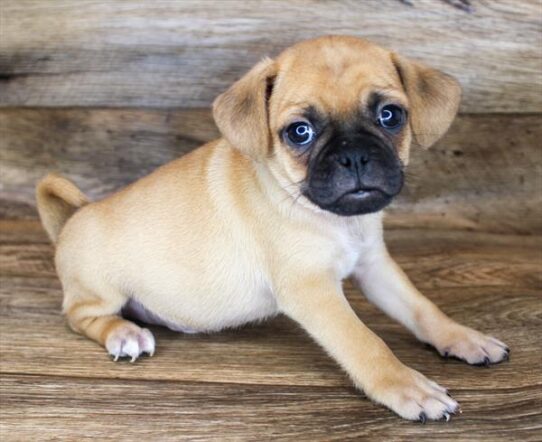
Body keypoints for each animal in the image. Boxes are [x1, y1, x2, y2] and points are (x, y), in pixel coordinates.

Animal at [37, 35, 510, 422]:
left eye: (390, 116)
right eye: (300, 132)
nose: (354, 155)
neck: (333, 219)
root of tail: (76, 215)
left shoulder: (375, 267)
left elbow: (421, 308)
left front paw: (463, 337)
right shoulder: (312, 291)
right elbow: (364, 341)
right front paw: (406, 385)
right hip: (99, 288)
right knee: (81, 316)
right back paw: (124, 333)